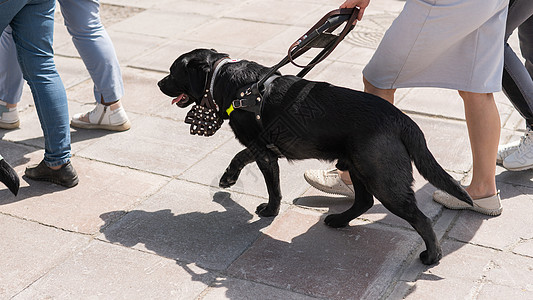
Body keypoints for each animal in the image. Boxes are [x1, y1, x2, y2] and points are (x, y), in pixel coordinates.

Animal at [157, 49, 470, 264]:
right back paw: (339, 221)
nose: (160, 83)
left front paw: (267, 209)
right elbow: (244, 159)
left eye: (173, 71)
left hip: (383, 179)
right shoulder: (262, 148)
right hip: (359, 167)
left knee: (421, 220)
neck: (230, 83)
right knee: (364, 201)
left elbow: (270, 185)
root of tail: (402, 119)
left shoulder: (263, 151)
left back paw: (432, 256)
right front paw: (229, 182)